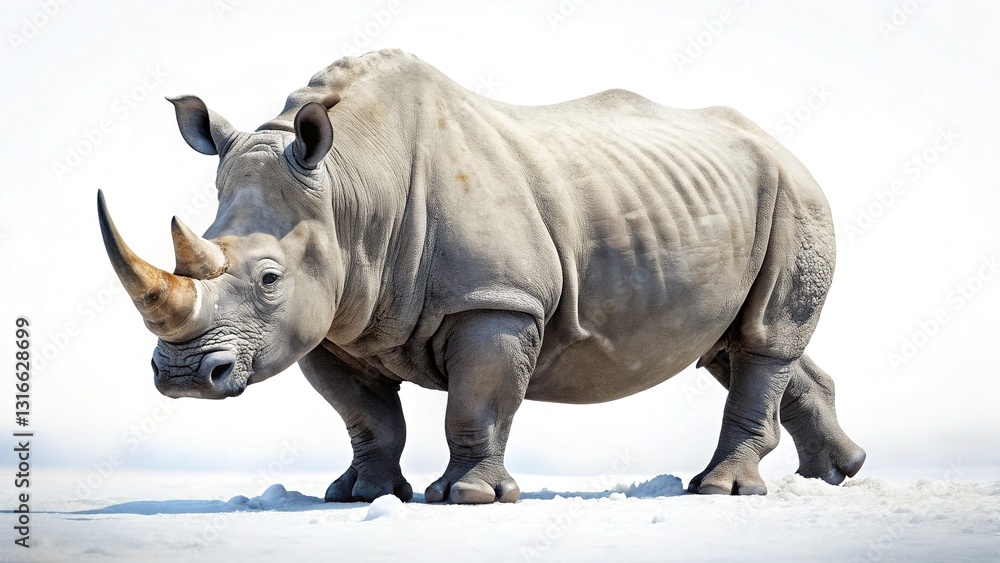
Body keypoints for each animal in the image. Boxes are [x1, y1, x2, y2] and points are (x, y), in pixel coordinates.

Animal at [97, 49, 865, 504]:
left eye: (268, 279)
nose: (184, 376)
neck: (349, 186)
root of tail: (781, 144)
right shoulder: (331, 322)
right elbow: (367, 417)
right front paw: (361, 495)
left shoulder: (496, 301)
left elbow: (478, 402)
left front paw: (467, 497)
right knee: (729, 345)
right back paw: (838, 472)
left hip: (796, 193)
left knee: (762, 337)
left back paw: (721, 490)